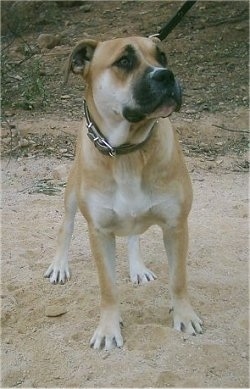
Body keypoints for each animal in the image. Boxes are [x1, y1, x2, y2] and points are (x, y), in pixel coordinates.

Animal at [44, 35, 202, 348]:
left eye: (162, 57)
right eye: (124, 61)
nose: (166, 75)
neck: (128, 151)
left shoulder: (176, 225)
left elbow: (178, 279)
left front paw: (185, 315)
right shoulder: (100, 233)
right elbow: (108, 288)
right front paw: (108, 329)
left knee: (133, 236)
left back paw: (137, 267)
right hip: (71, 195)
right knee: (65, 228)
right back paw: (59, 265)